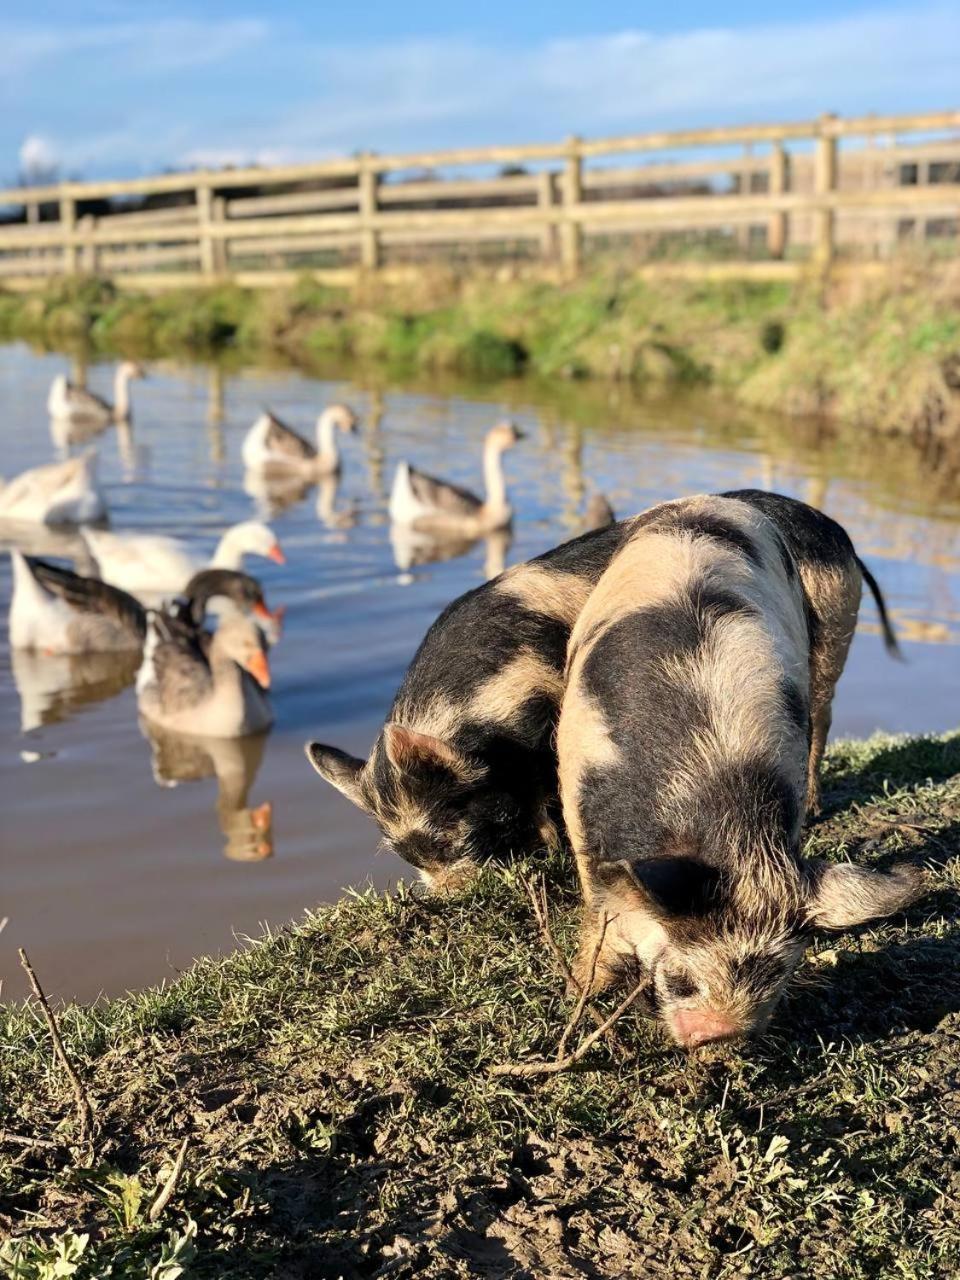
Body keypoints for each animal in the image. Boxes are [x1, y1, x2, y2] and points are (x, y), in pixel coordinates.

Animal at [563, 494, 926, 1044]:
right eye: (681, 979)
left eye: (778, 975)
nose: (721, 1034)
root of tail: (709, 501)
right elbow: (601, 908)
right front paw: (579, 991)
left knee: (824, 712)